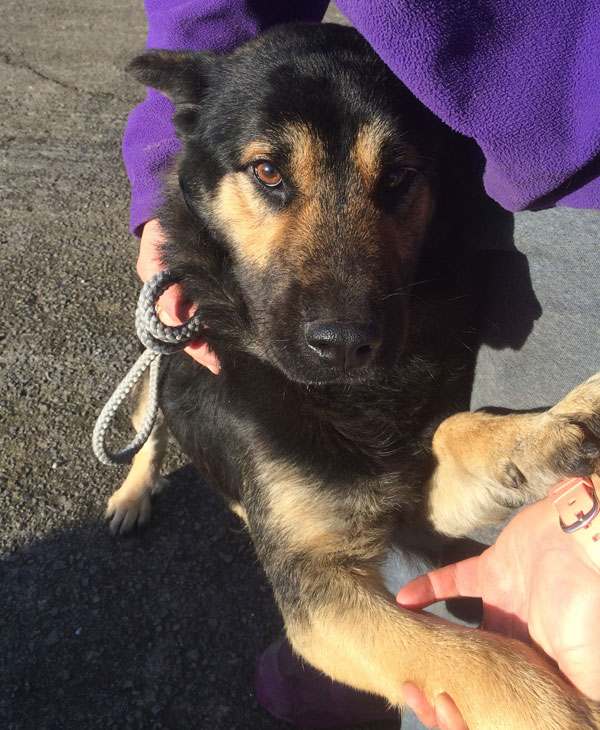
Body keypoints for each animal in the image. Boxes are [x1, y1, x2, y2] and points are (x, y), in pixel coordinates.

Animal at [108, 22, 600, 728]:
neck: (345, 397)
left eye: (397, 177)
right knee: (149, 422)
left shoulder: (419, 511)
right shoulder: (320, 594)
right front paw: (555, 710)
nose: (344, 345)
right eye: (267, 172)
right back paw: (131, 495)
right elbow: (479, 662)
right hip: (160, 348)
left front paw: (538, 436)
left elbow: (451, 427)